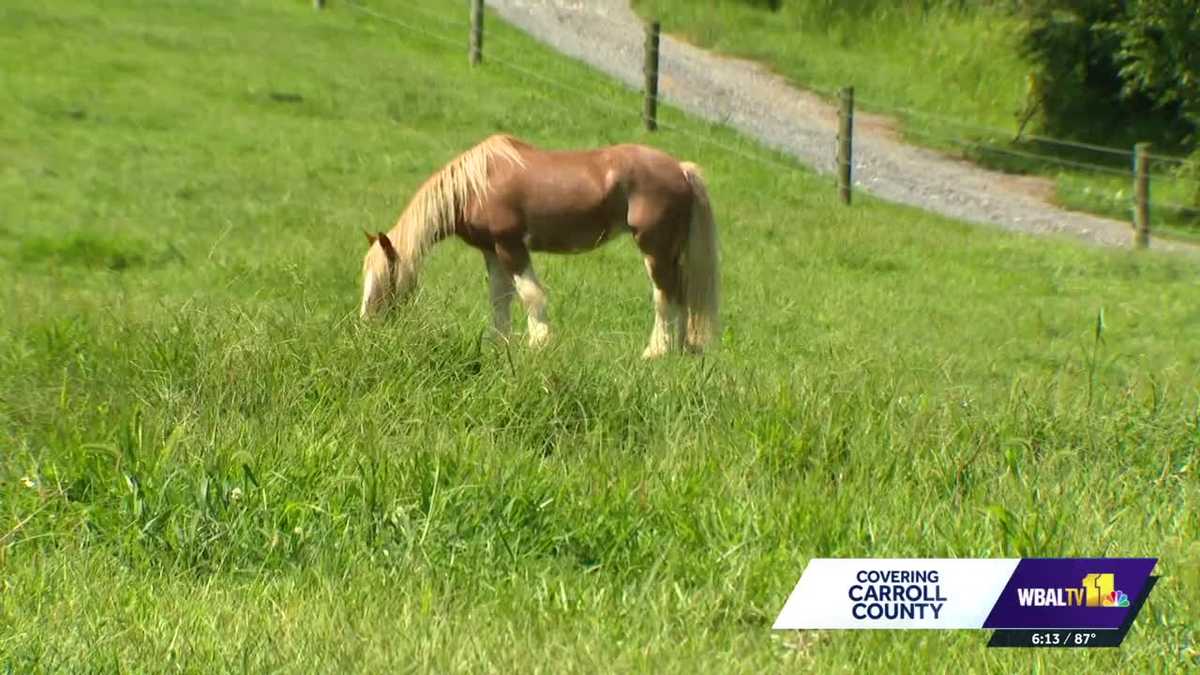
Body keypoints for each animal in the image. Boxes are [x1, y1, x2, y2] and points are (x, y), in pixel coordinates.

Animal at [359, 134, 719, 358]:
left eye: (384, 279)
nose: (366, 327)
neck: (475, 185)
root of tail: (681, 170)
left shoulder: (510, 246)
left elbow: (531, 295)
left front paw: (539, 344)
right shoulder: (492, 251)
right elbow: (500, 299)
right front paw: (500, 344)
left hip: (654, 249)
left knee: (664, 296)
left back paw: (655, 352)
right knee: (682, 294)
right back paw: (680, 350)